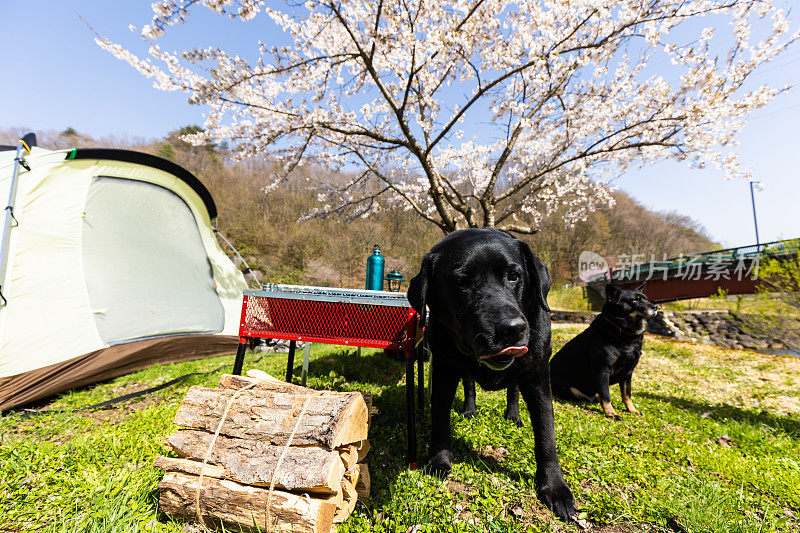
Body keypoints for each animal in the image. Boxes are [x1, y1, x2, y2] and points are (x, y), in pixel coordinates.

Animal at [412, 228, 576, 520]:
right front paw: (439, 461)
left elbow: (546, 435)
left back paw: (513, 415)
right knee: (469, 385)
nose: (512, 329)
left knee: (513, 389)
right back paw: (470, 410)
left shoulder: (538, 377)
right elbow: (440, 419)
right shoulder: (444, 369)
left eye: (514, 275)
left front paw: (555, 488)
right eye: (462, 281)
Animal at [552, 284, 656, 418]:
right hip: (571, 388)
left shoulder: (628, 372)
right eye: (634, 301)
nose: (655, 306)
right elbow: (606, 395)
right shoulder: (602, 371)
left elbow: (626, 395)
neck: (624, 332)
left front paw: (632, 410)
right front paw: (611, 414)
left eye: (646, 299)